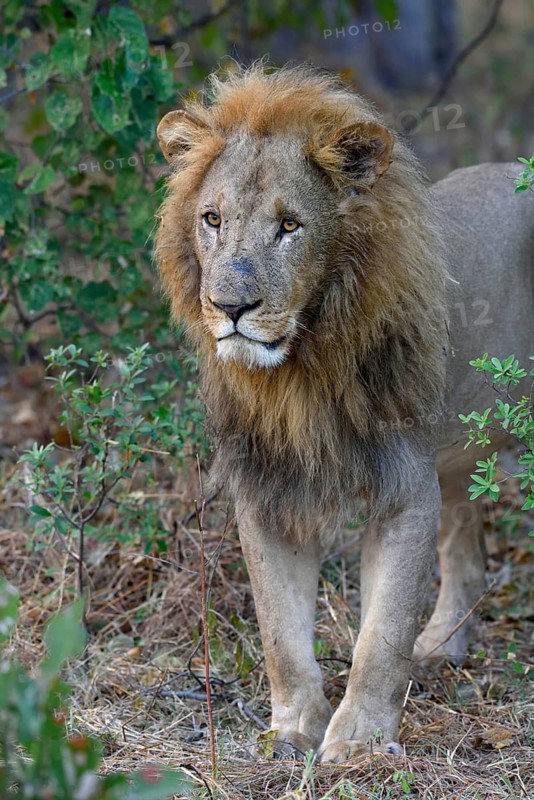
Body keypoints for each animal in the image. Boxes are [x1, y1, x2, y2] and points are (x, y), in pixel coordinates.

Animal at [155, 65, 534, 762]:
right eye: (212, 219)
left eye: (289, 226)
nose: (230, 307)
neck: (299, 373)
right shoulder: (268, 493)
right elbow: (279, 633)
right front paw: (292, 732)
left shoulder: (405, 491)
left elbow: (380, 635)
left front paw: (358, 742)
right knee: (464, 551)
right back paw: (440, 648)